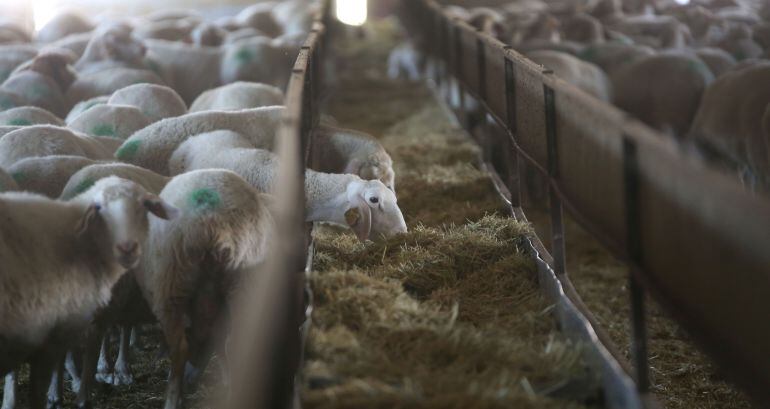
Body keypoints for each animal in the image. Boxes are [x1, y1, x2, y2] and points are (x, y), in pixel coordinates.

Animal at [0, 177, 177, 408]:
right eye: (98, 208)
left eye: (143, 207)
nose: (127, 248)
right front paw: (54, 395)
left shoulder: (96, 319)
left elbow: (89, 361)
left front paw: (82, 396)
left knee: (123, 329)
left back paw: (119, 369)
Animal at [136, 168, 274, 408]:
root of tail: (212, 221)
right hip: (245, 283)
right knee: (236, 343)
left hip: (169, 287)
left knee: (178, 349)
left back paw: (172, 399)